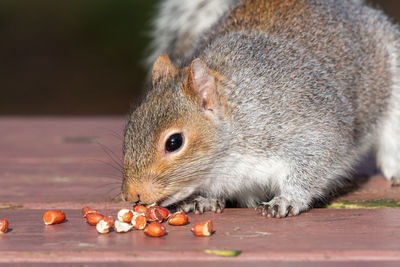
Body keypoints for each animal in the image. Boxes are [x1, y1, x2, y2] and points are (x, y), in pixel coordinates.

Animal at [121, 0, 400, 218]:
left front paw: (287, 199)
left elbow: (316, 164)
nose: (131, 195)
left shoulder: (309, 126)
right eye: (128, 129)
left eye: (174, 142)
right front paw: (205, 199)